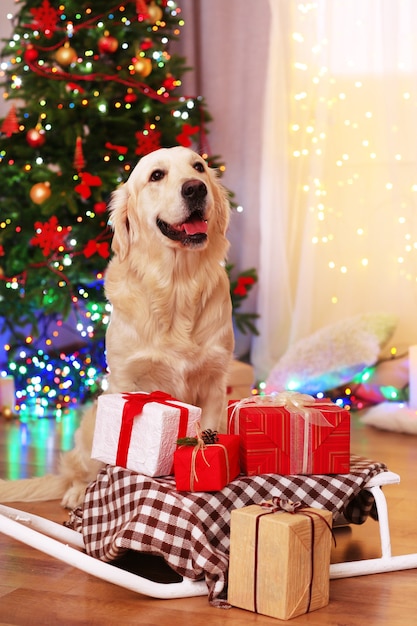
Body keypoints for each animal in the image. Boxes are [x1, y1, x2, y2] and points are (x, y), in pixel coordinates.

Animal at [0, 146, 234, 508]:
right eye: (156, 175)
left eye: (199, 167)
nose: (195, 188)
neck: (177, 288)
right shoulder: (126, 380)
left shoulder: (214, 383)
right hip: (91, 421)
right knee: (81, 471)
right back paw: (77, 492)